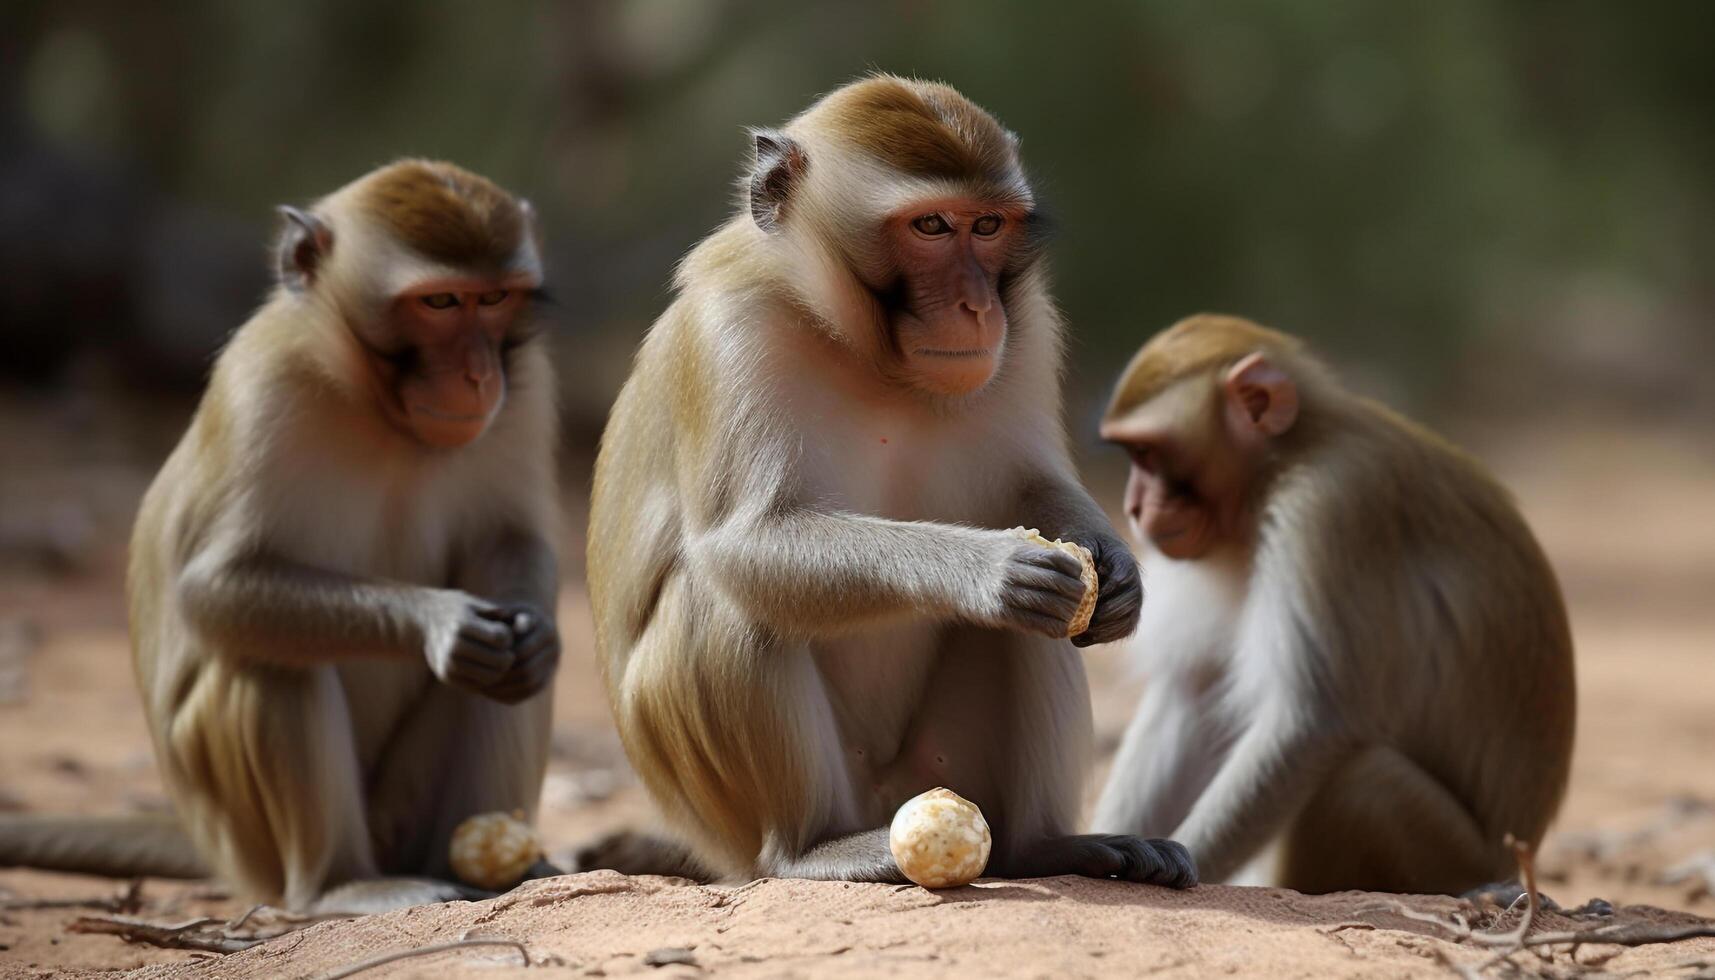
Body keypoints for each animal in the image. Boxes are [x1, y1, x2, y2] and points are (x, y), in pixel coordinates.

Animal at [0, 157, 562, 919]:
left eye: (495, 298)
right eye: (441, 303)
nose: (478, 375)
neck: (381, 411)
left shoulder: (526, 385)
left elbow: (515, 543)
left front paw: (533, 636)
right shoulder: (264, 381)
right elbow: (215, 590)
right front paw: (438, 620)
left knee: (499, 655)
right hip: (244, 835)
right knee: (270, 651)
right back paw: (339, 884)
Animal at [583, 76, 1200, 892]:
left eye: (988, 225)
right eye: (931, 226)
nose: (977, 307)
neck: (867, 353)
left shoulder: (1029, 326)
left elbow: (1037, 490)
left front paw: (1117, 568)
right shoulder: (731, 331)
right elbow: (741, 543)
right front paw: (986, 569)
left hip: (940, 765)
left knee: (1041, 625)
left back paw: (1046, 846)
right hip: (743, 814)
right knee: (725, 601)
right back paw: (812, 847)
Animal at [1090, 314, 1570, 899]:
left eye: (1148, 454)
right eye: (1132, 456)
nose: (1134, 506)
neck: (1286, 460)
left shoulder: (1328, 506)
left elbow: (1312, 722)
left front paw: (1178, 859)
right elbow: (1195, 692)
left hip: (1456, 855)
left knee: (1363, 780)